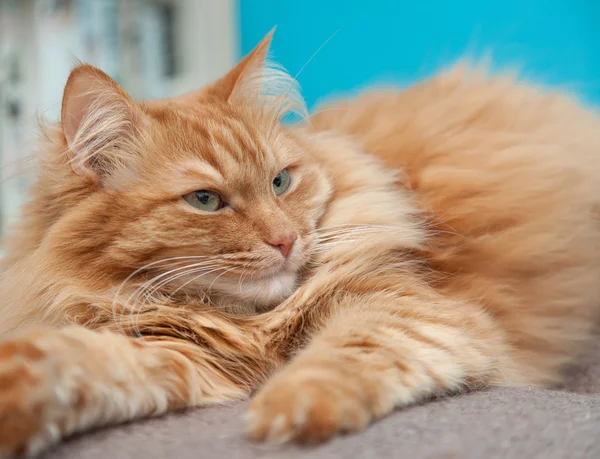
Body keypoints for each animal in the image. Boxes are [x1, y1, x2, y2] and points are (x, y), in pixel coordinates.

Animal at [1, 30, 600, 458]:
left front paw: (289, 408)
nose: (286, 240)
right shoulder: (179, 352)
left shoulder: (403, 306)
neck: (248, 322)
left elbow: (342, 355)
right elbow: (89, 364)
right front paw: (21, 398)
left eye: (280, 182)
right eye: (205, 200)